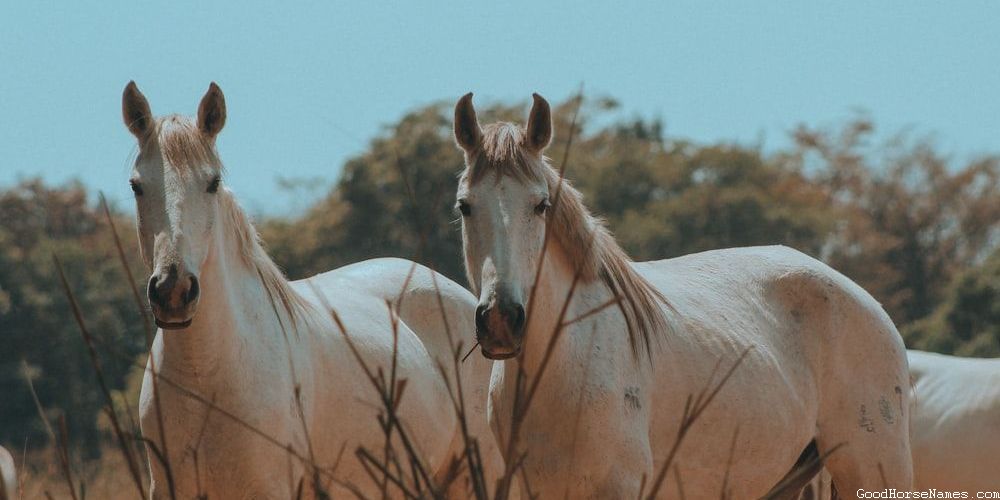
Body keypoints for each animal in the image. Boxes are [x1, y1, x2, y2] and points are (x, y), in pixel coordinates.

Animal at [452, 92, 913, 498]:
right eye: (464, 206)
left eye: (541, 205)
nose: (500, 319)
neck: (566, 360)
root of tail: (870, 304)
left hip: (872, 470)